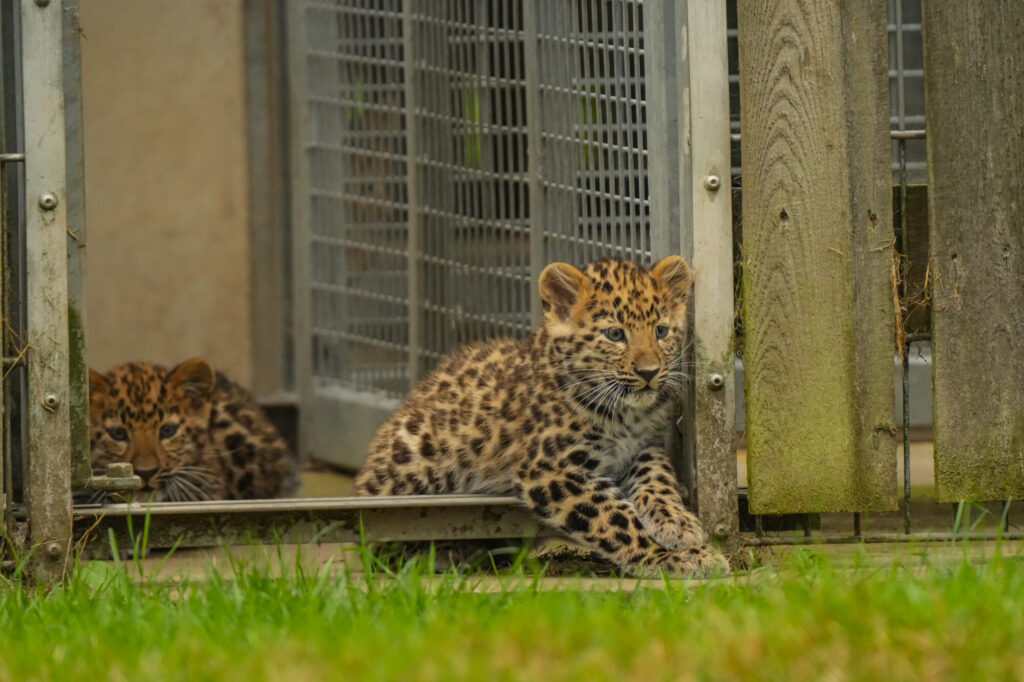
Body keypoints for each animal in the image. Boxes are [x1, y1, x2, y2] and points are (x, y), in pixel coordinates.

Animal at [355, 256, 729, 577]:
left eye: (662, 331)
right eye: (615, 334)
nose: (649, 372)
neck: (625, 414)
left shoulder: (642, 448)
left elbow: (658, 479)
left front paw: (681, 527)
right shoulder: (551, 470)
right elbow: (616, 519)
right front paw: (672, 557)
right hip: (417, 455)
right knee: (379, 539)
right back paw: (442, 552)